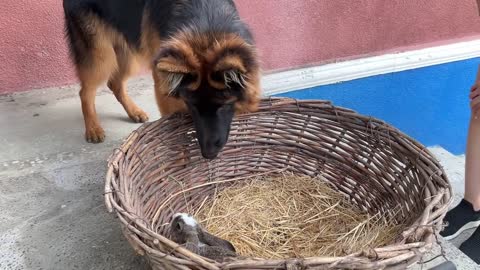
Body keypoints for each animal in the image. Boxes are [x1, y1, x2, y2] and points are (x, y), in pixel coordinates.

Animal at [62, 0, 262, 158]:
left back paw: (134, 111)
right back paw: (93, 128)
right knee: (86, 91)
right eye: (192, 105)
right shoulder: (163, 82)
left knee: (115, 83)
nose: (208, 154)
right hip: (102, 56)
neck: (206, 21)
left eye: (223, 105)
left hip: (128, 51)